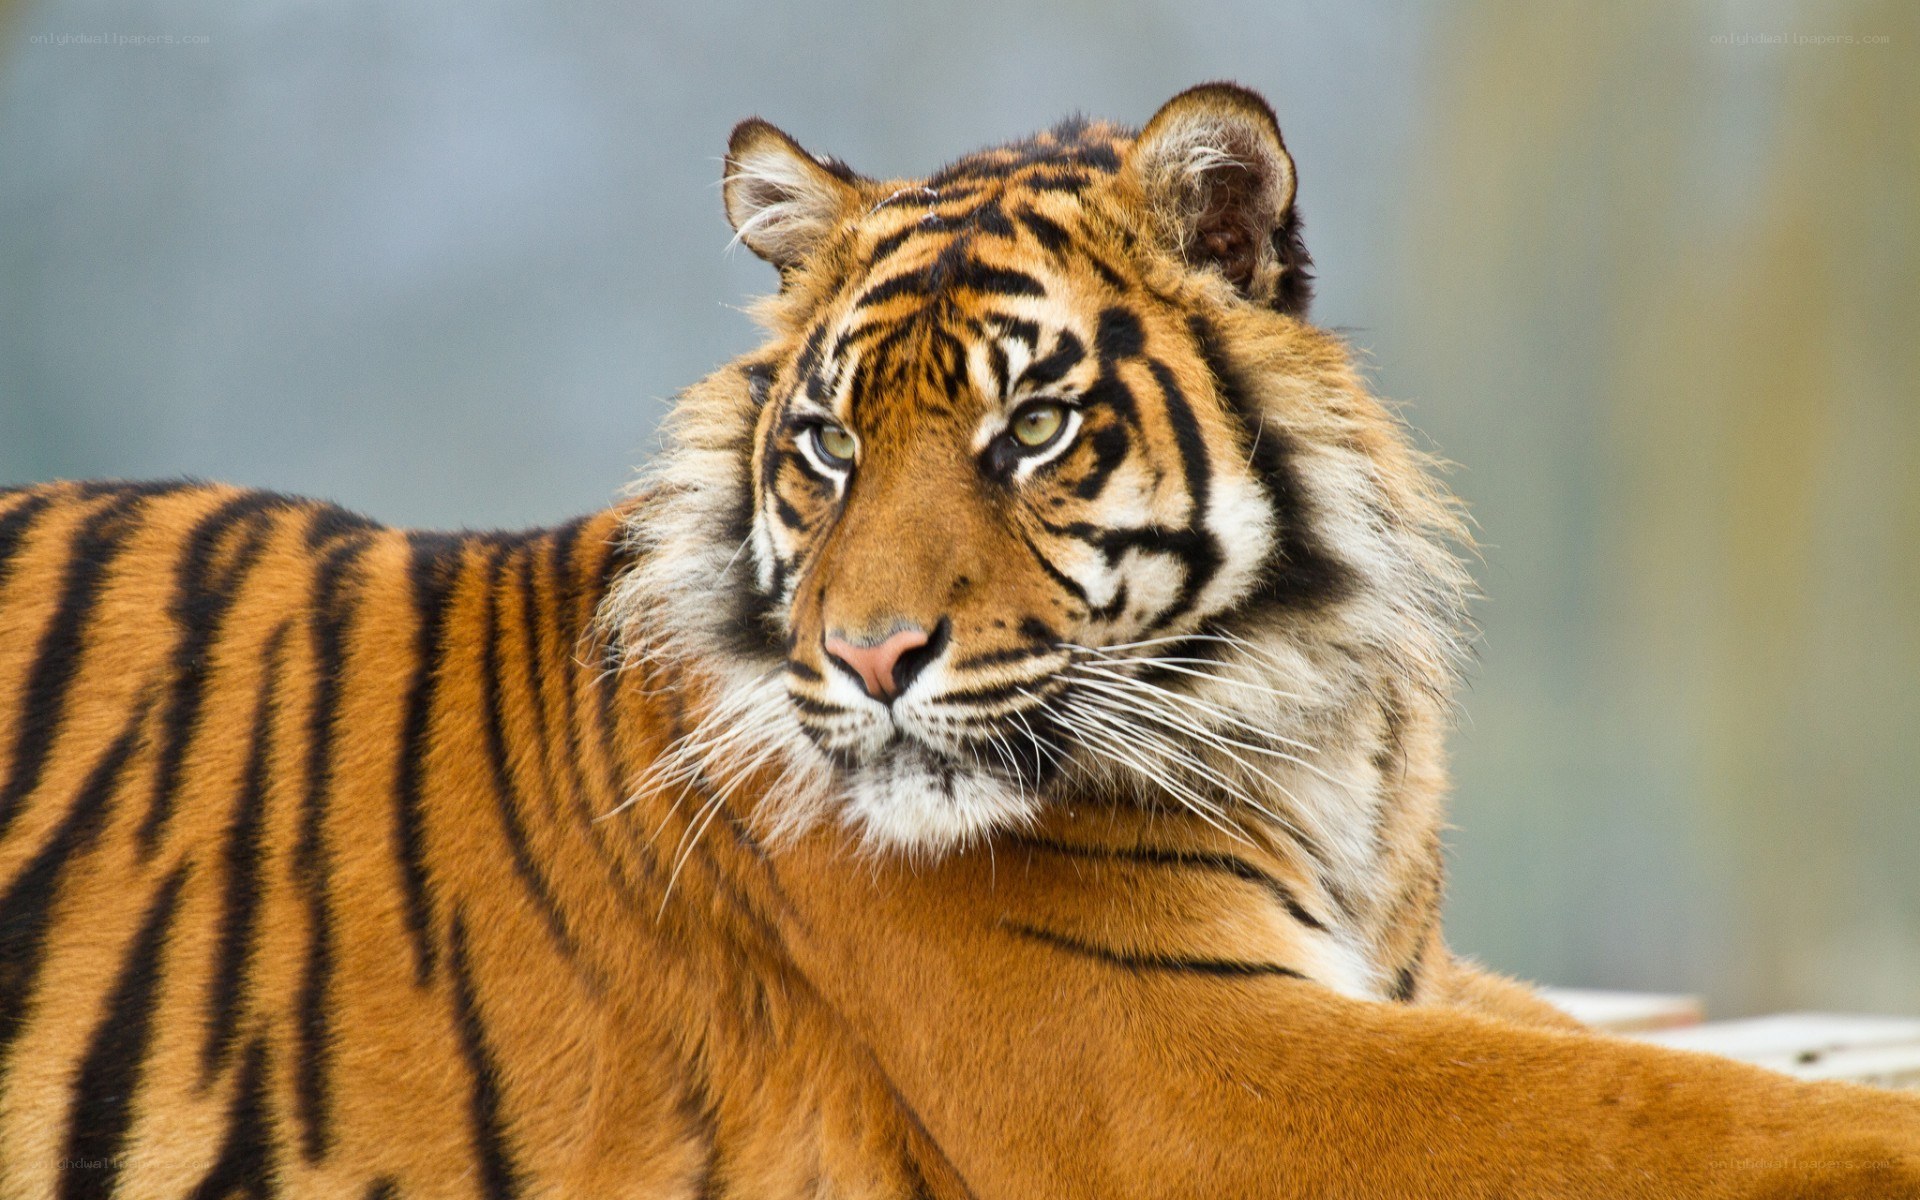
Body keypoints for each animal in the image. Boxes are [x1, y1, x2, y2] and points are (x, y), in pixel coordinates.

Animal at [2, 81, 1916, 1199]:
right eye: (831, 444)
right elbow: (1670, 1110)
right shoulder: (1180, 1065)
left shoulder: (1396, 976)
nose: (866, 661)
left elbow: (1682, 1063)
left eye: (1032, 431)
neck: (1320, 732)